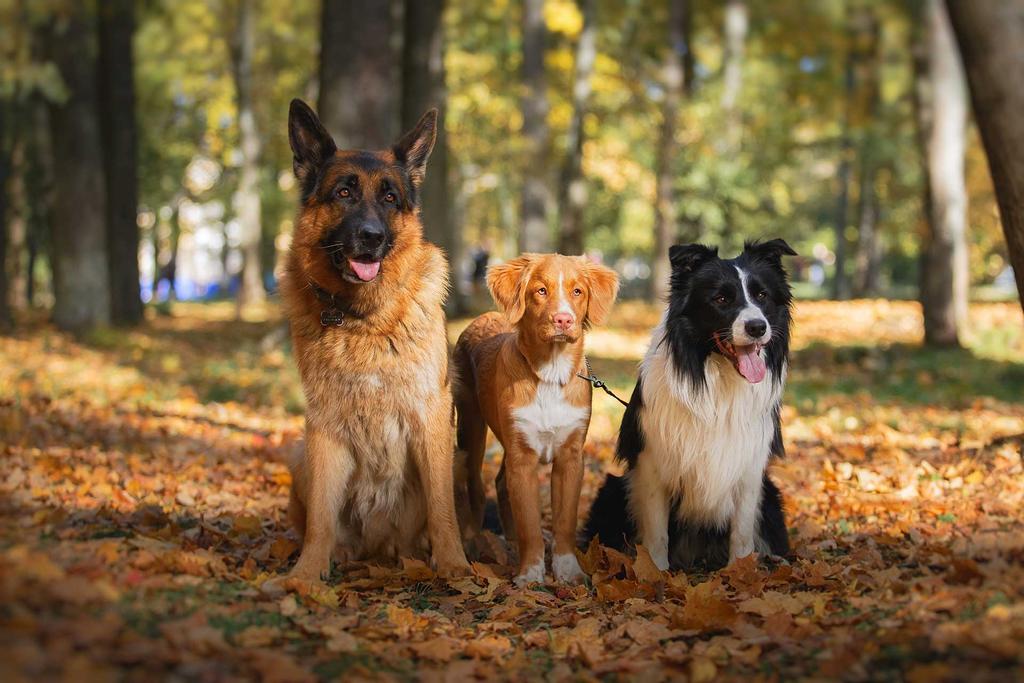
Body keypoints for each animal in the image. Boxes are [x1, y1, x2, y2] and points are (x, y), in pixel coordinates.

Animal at [454, 253, 614, 585]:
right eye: (541, 290)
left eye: (577, 291)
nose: (563, 320)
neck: (550, 373)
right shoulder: (522, 458)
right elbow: (529, 521)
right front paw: (530, 574)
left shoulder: (570, 457)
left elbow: (564, 521)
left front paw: (567, 571)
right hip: (471, 428)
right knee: (476, 486)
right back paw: (476, 545)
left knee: (501, 482)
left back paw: (511, 543)